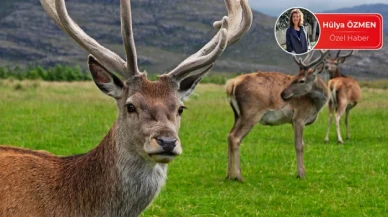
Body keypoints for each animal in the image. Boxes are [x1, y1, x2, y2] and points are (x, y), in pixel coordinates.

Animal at [226, 50, 328, 181]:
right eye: (295, 77)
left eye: (301, 80)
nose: (283, 94)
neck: (315, 104)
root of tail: (231, 85)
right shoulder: (299, 118)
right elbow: (299, 145)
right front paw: (301, 174)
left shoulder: (293, 121)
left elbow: (300, 143)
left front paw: (301, 172)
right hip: (251, 113)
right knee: (235, 137)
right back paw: (239, 176)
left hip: (237, 115)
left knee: (230, 135)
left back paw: (229, 175)